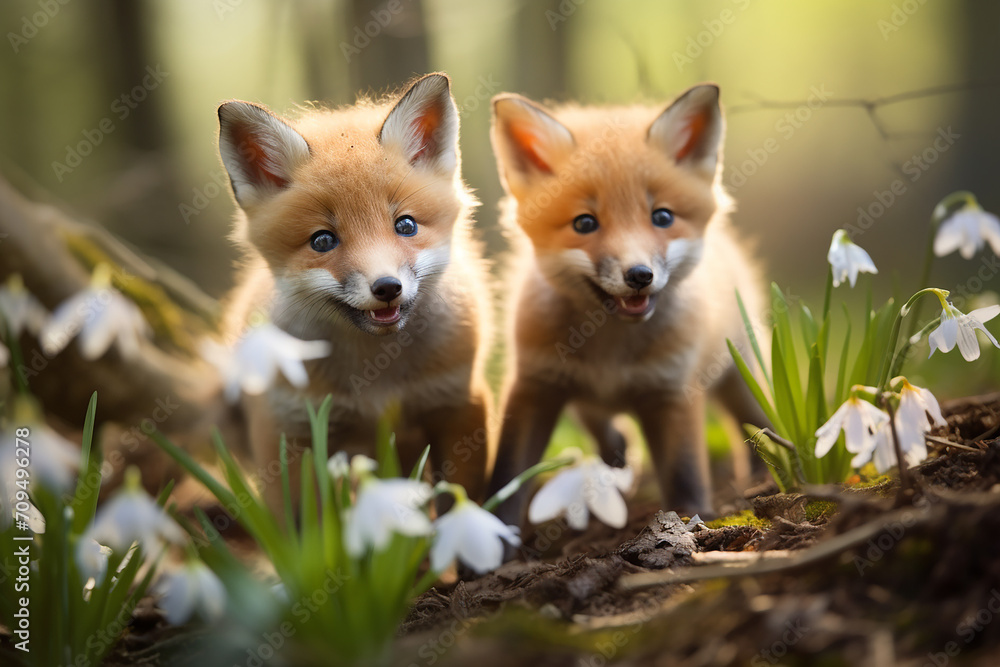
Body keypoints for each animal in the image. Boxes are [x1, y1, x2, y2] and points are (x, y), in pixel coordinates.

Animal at [216, 73, 494, 508]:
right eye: (323, 241)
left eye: (406, 226)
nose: (387, 287)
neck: (376, 375)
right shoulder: (288, 428)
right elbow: (297, 521)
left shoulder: (459, 403)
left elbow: (460, 499)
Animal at [486, 83, 768, 524]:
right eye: (585, 223)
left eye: (662, 217)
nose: (639, 275)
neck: (611, 351)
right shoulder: (535, 383)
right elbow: (509, 472)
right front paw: (495, 527)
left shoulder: (672, 389)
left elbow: (684, 469)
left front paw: (690, 518)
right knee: (603, 428)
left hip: (742, 374)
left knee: (759, 423)